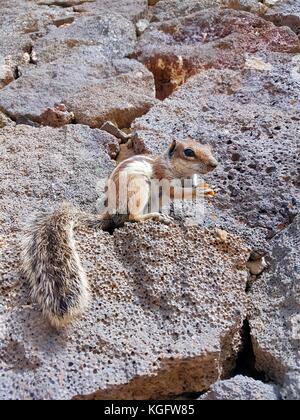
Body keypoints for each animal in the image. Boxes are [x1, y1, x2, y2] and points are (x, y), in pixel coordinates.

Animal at [20, 139, 218, 328]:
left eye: (209, 148)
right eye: (188, 152)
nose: (214, 164)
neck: (181, 173)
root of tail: (110, 214)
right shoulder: (164, 175)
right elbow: (175, 192)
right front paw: (200, 191)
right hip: (139, 186)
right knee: (132, 217)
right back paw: (155, 216)